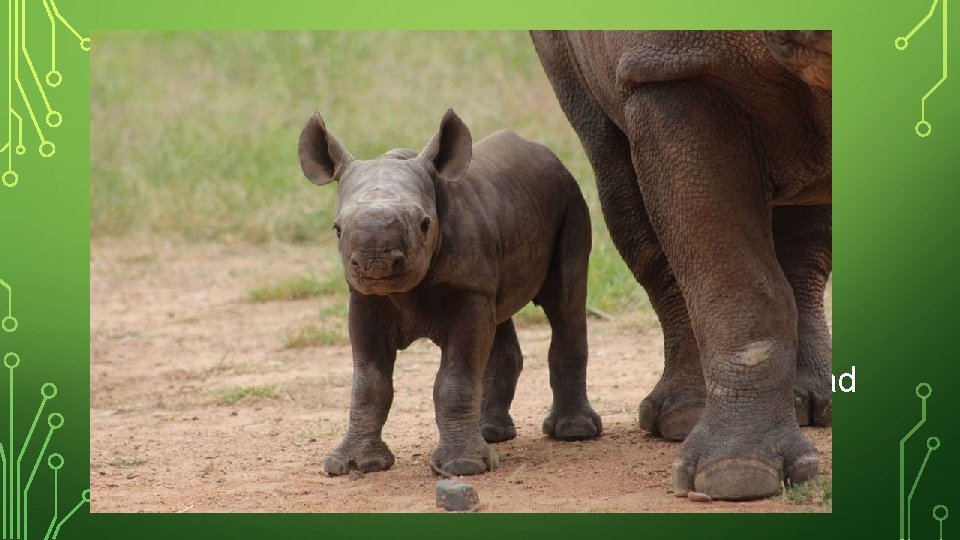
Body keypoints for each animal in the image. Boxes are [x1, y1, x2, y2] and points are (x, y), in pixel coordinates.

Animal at [300, 109, 600, 476]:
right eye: (337, 229)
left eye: (425, 224)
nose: (376, 262)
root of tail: (548, 154)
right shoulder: (364, 298)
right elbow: (369, 382)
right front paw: (355, 464)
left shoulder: (467, 290)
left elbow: (455, 379)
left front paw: (463, 466)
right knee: (500, 314)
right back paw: (491, 433)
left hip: (571, 197)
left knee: (565, 302)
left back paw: (574, 431)